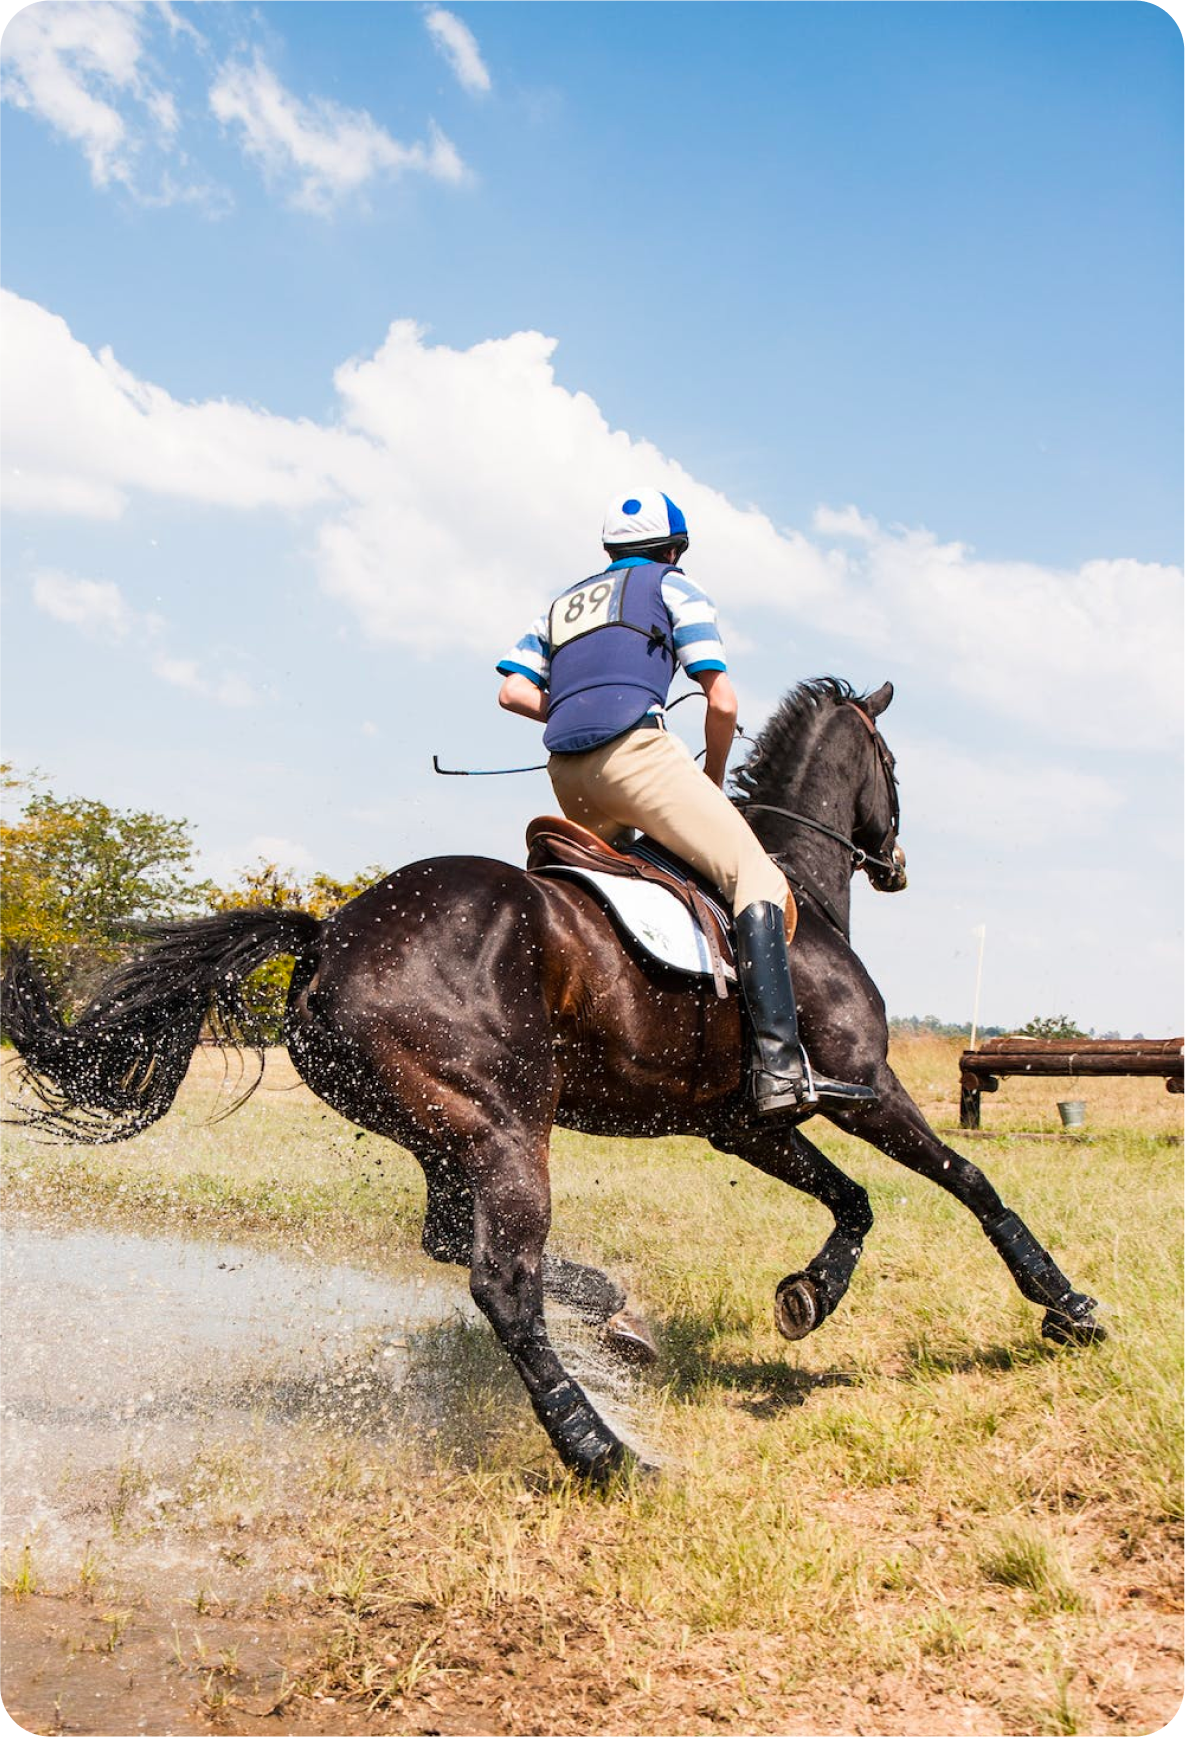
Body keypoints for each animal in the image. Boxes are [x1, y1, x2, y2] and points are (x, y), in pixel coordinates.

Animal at [0, 677, 1104, 1481]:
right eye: (891, 766)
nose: (898, 859)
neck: (790, 883)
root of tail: (330, 939)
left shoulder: (743, 1122)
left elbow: (854, 1199)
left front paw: (807, 1295)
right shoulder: (865, 1083)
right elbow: (968, 1180)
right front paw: (1065, 1305)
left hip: (445, 1130)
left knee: (455, 1241)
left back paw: (615, 1321)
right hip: (503, 1127)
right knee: (500, 1282)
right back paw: (602, 1450)